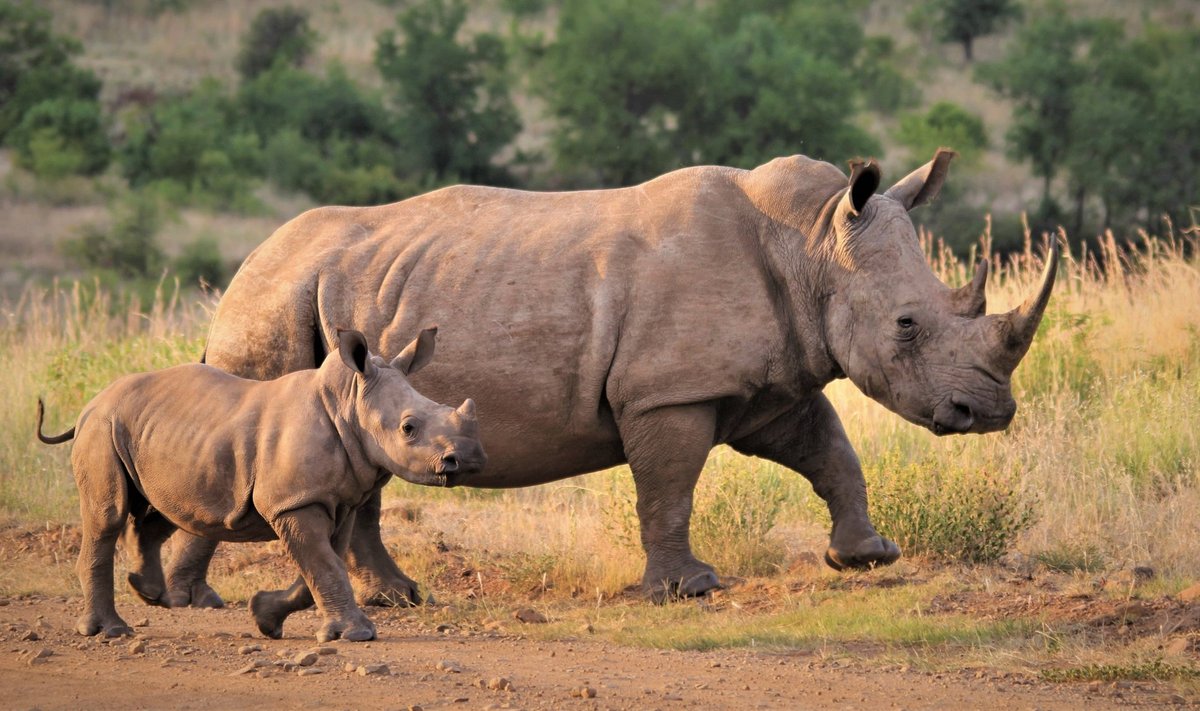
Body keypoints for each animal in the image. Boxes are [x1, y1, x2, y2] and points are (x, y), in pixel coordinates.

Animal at [38, 326, 487, 643]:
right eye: (408, 428)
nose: (469, 458)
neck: (349, 402)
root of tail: (90, 404)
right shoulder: (294, 502)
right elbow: (324, 564)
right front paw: (358, 634)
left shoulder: (336, 500)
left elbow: (322, 566)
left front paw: (264, 617)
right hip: (102, 427)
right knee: (108, 515)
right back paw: (111, 630)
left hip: (154, 434)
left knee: (167, 507)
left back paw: (149, 593)